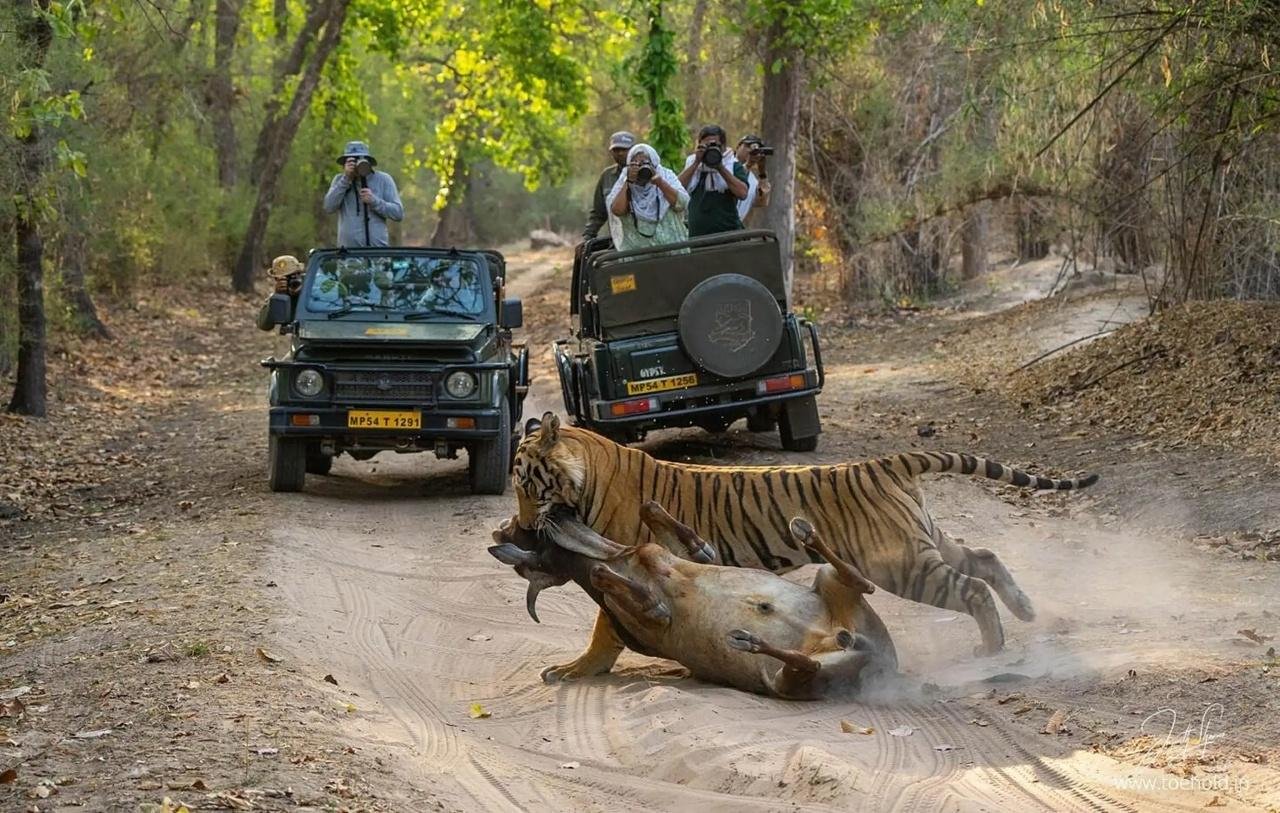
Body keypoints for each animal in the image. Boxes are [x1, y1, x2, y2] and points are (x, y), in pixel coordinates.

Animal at [511, 412, 1098, 682]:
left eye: (526, 484)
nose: (519, 527)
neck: (587, 468)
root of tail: (886, 462)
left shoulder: (626, 556)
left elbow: (605, 627)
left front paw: (576, 670)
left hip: (902, 564)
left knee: (972, 586)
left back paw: (993, 646)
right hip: (924, 541)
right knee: (985, 559)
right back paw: (1025, 610)